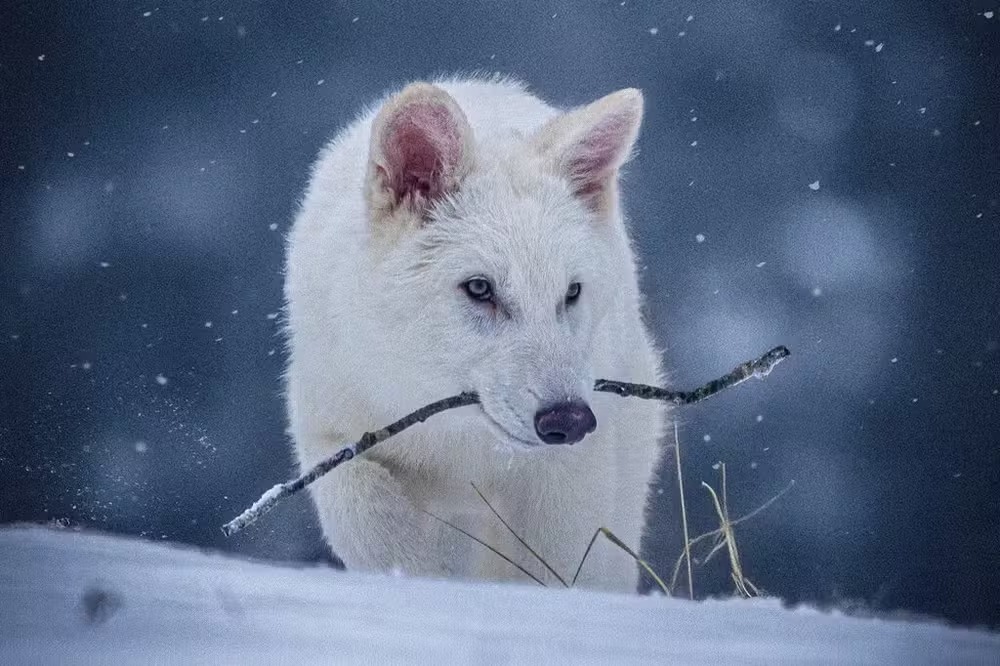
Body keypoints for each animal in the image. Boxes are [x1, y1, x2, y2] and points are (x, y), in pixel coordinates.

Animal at [284, 76, 668, 592]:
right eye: (480, 288)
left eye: (570, 292)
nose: (569, 420)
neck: (458, 442)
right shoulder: (333, 437)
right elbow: (374, 524)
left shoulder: (566, 478)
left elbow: (553, 570)